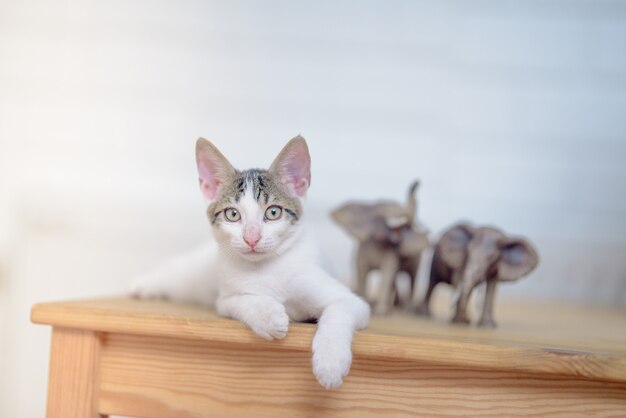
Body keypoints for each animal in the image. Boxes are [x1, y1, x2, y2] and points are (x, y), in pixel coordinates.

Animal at [129, 136, 368, 388]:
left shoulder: (351, 301)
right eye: (232, 214)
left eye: (273, 212)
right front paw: (269, 317)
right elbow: (240, 301)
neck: (267, 267)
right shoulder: (225, 298)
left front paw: (330, 363)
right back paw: (142, 285)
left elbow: (340, 311)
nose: (251, 238)